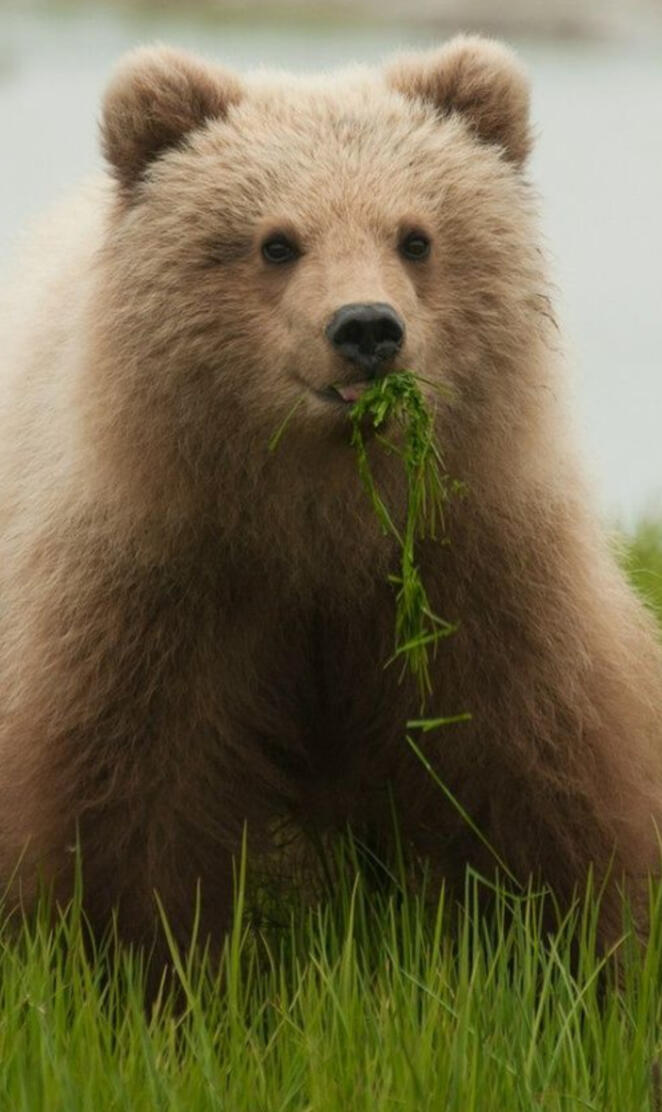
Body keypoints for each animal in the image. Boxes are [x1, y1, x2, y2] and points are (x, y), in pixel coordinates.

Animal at [1, 35, 661, 961]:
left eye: (416, 236)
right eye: (276, 242)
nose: (366, 328)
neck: (323, 513)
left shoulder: (474, 569)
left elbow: (537, 770)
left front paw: (568, 946)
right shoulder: (161, 582)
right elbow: (128, 801)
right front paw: (142, 959)